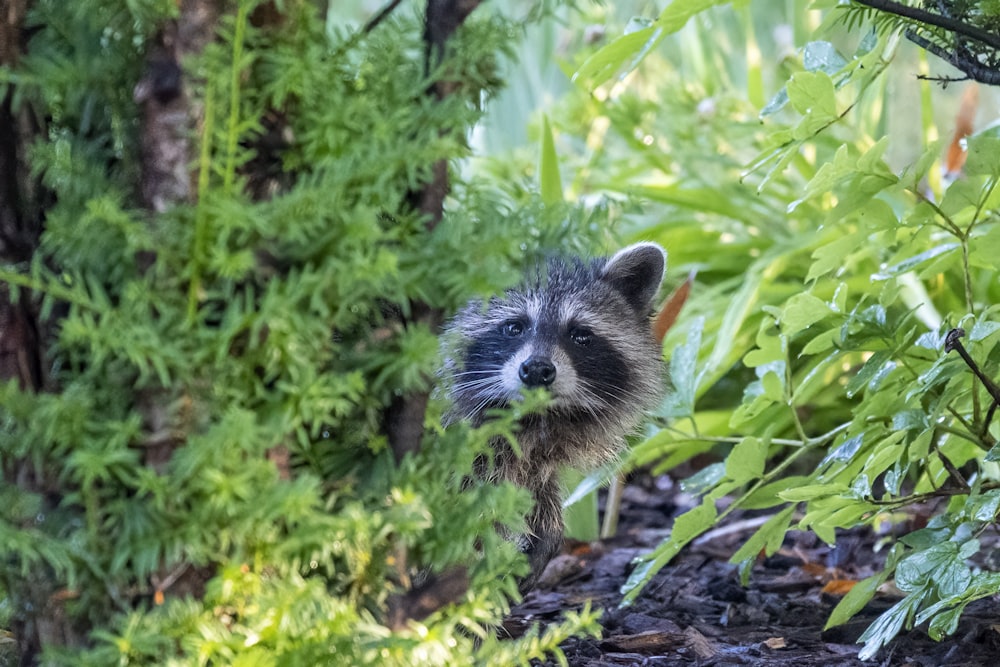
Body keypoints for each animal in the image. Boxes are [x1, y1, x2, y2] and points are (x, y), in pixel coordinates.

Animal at [444, 243, 664, 592]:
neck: (537, 419)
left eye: (579, 334)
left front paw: (547, 528)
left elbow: (536, 488)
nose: (536, 369)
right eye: (514, 327)